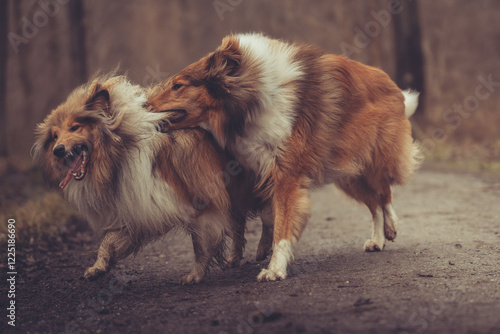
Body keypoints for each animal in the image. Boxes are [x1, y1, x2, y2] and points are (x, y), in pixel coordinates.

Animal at [32, 73, 262, 284]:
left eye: (75, 127)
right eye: (54, 136)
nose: (57, 150)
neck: (122, 152)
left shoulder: (202, 203)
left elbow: (200, 244)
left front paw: (195, 275)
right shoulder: (135, 209)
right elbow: (107, 241)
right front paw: (98, 267)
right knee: (239, 222)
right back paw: (235, 259)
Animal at [147, 32, 422, 282]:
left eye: (178, 85)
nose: (144, 105)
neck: (252, 100)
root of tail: (394, 87)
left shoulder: (285, 175)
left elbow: (282, 223)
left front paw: (275, 269)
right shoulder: (259, 170)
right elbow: (269, 214)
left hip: (373, 163)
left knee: (385, 192)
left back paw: (391, 227)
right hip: (348, 175)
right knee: (374, 203)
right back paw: (378, 239)